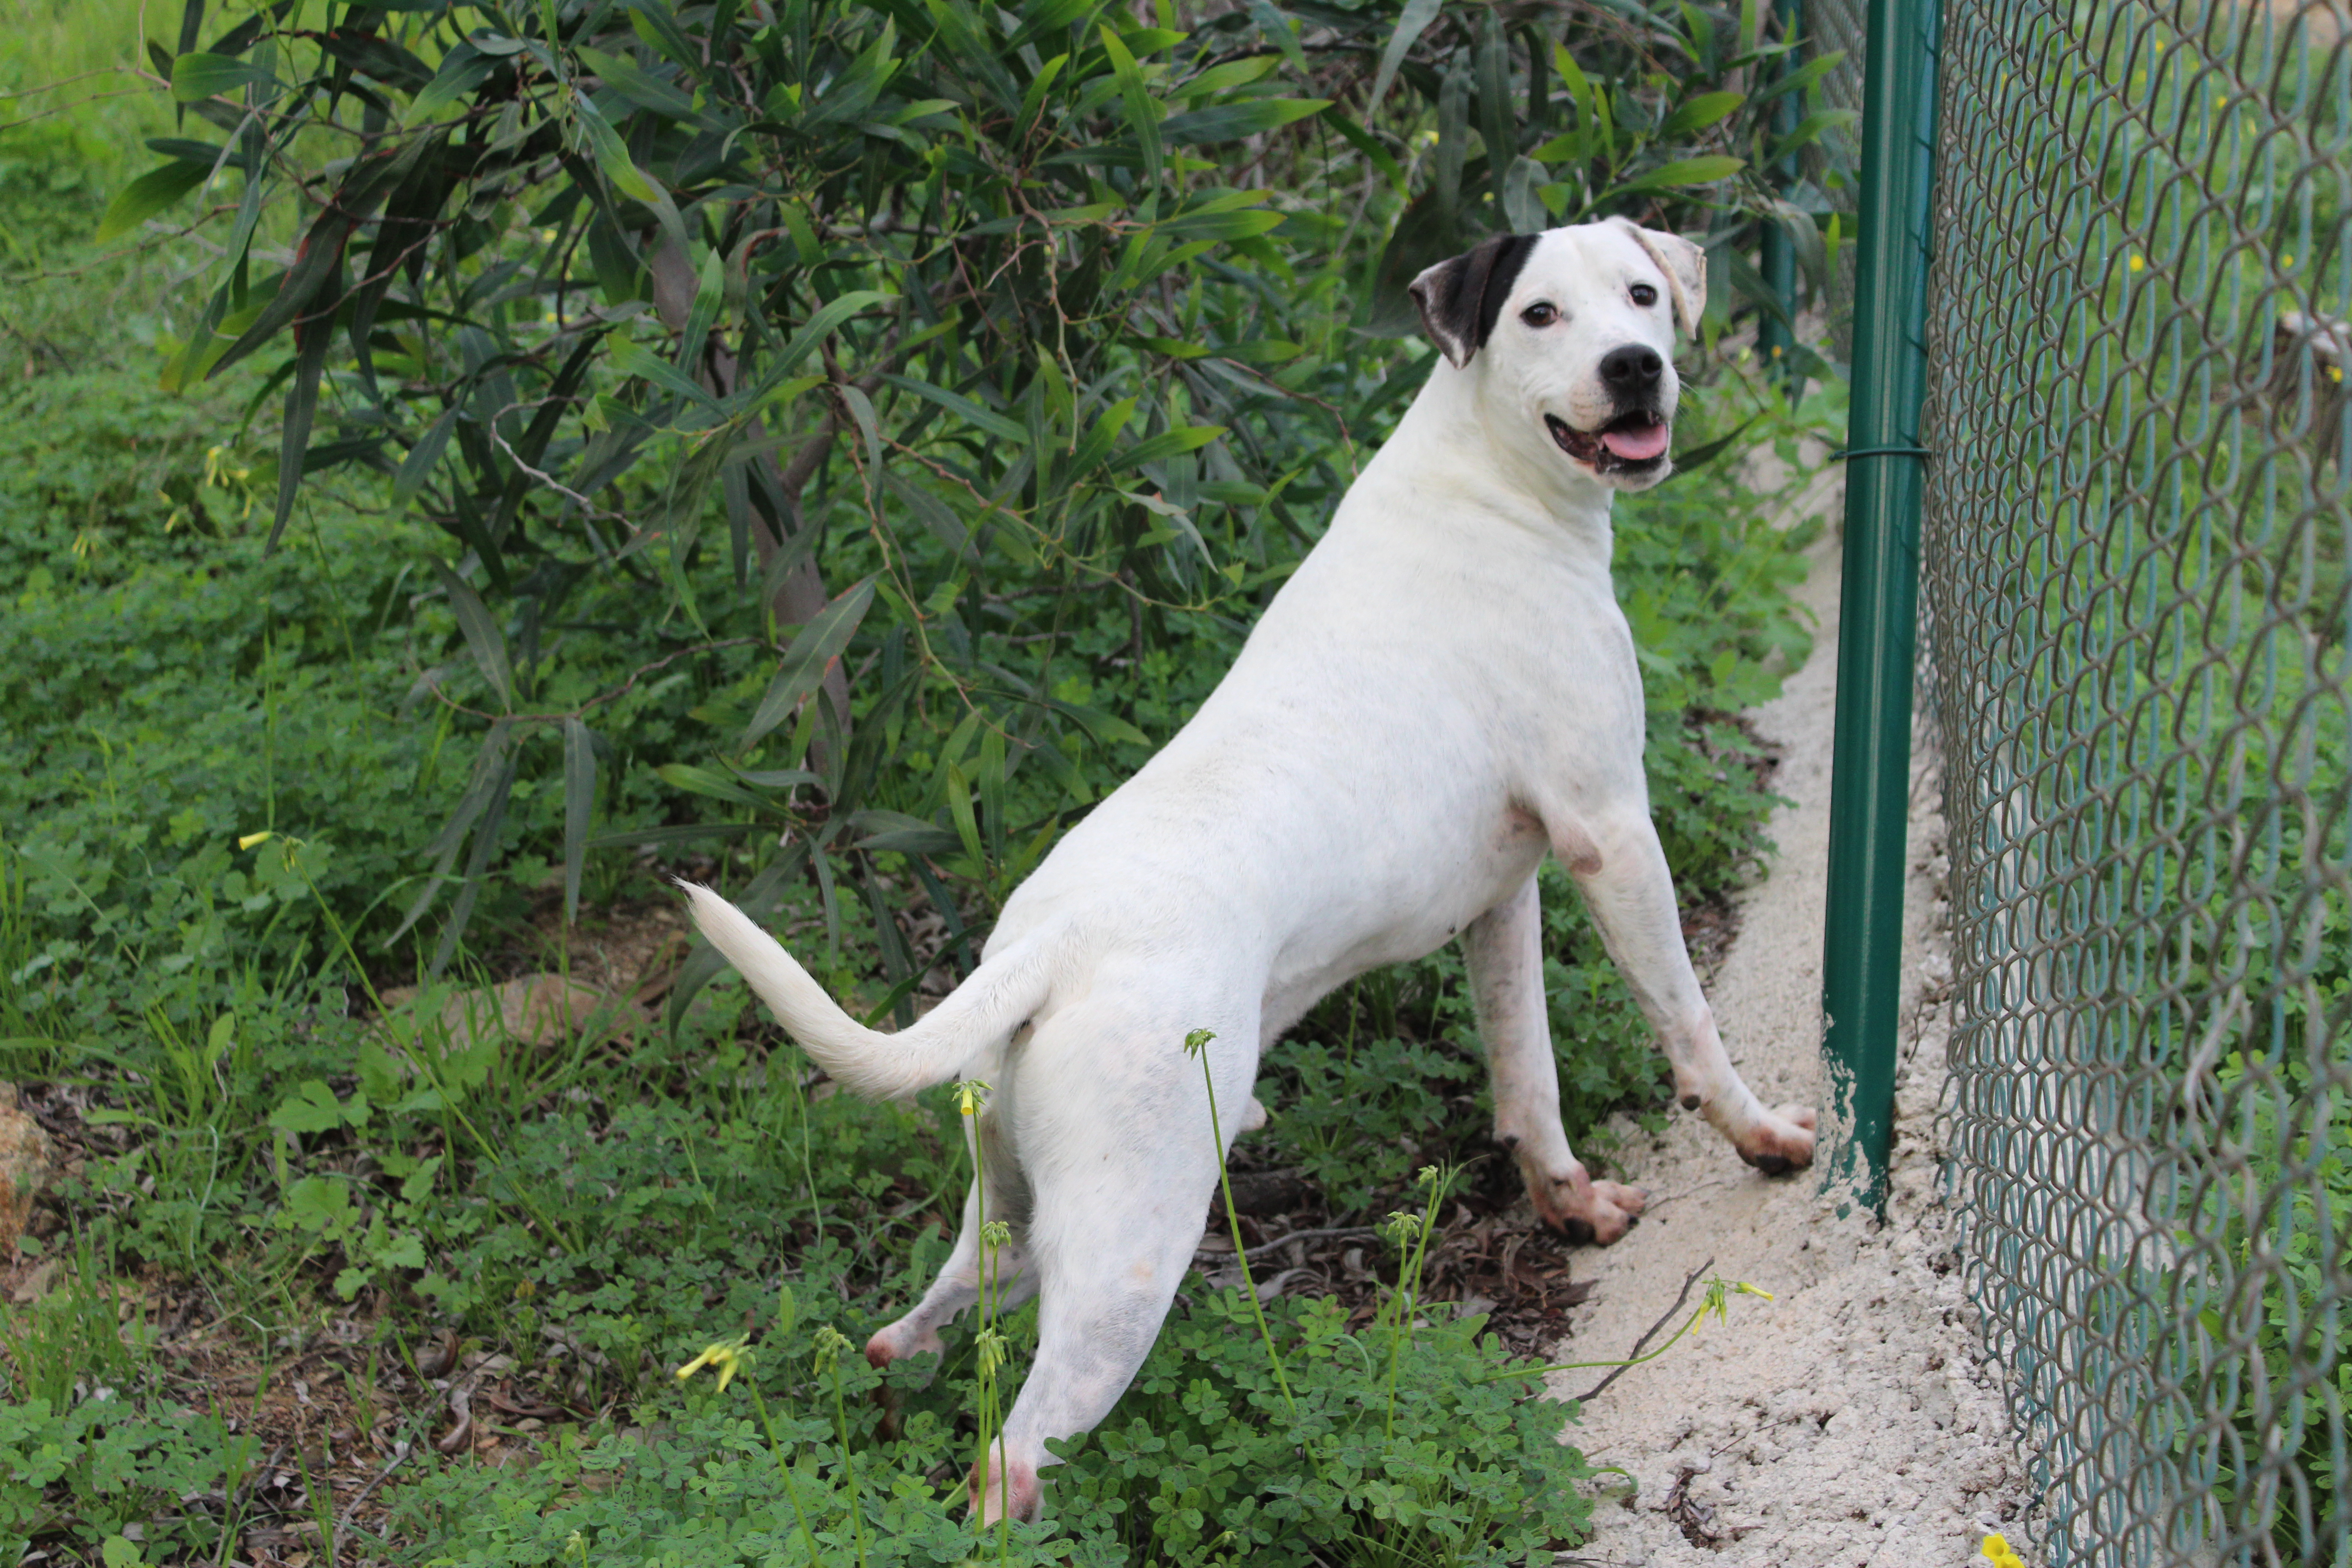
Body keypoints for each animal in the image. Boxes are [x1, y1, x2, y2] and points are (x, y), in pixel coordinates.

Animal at [682, 217, 1816, 1523]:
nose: (1637, 365)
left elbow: (1526, 1076)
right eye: (1539, 315)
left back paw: (891, 1368)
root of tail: (1053, 947)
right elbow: (1687, 1020)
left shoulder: (1503, 897)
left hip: (1009, 1207)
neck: (1490, 483)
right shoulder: (1611, 831)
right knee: (1014, 1455)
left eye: (1641, 294)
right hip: (1131, 1257)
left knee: (932, 1314)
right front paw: (1761, 1138)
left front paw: (1570, 1202)